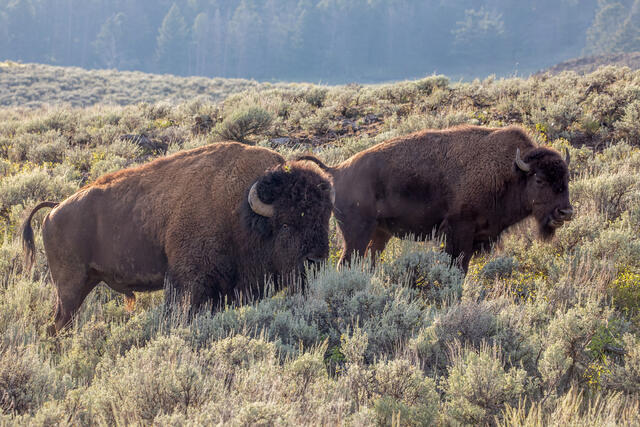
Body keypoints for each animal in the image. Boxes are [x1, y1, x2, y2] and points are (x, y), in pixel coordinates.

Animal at [21, 142, 334, 333]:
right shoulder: (188, 282)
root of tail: (55, 209)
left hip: (85, 282)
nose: (315, 260)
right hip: (70, 285)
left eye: (324, 217)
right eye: (285, 224)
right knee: (58, 323)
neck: (240, 210)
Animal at [298, 125, 573, 272]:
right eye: (539, 180)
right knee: (346, 263)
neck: (510, 171)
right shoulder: (459, 232)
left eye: (567, 179)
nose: (565, 213)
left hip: (379, 234)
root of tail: (337, 169)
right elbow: (457, 267)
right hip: (357, 234)